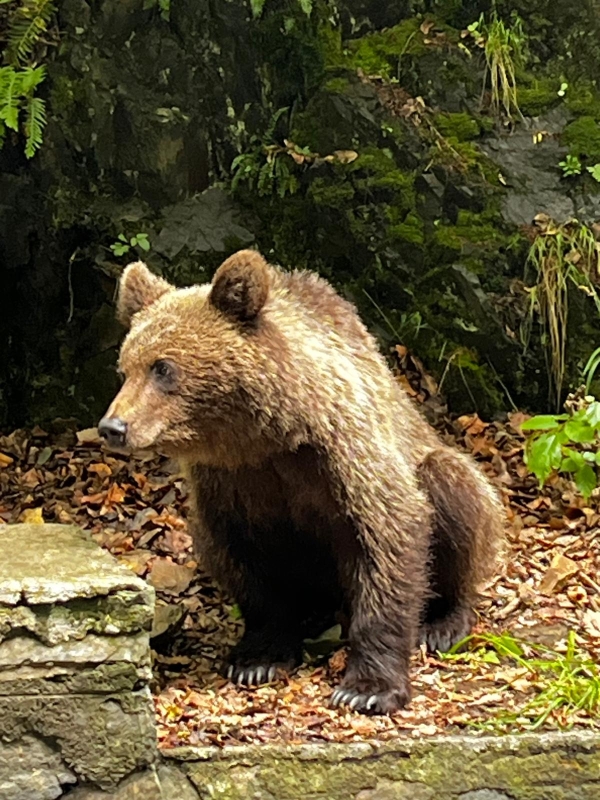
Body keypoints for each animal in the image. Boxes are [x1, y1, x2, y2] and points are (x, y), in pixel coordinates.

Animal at [99, 249, 503, 714]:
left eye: (163, 367)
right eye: (124, 368)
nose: (113, 426)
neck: (265, 439)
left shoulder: (343, 454)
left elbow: (389, 533)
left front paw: (367, 687)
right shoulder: (230, 485)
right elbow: (245, 563)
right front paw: (258, 658)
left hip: (447, 474)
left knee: (454, 491)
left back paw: (443, 622)